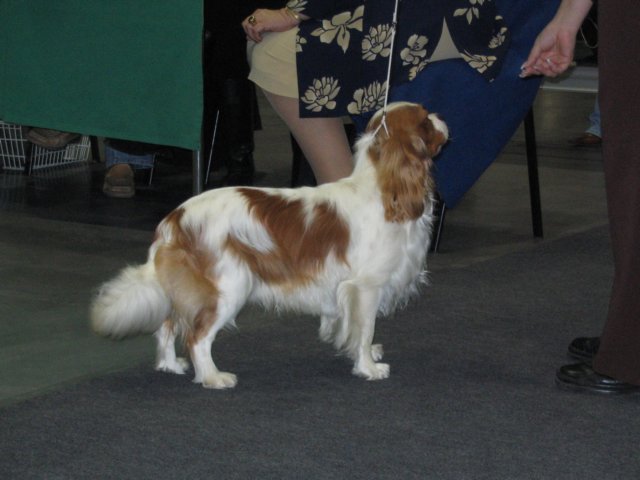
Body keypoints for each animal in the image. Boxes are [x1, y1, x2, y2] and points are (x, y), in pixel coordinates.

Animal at [90, 102, 448, 389]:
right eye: (425, 120)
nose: (441, 117)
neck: (384, 189)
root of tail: (174, 219)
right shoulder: (365, 287)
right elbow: (365, 329)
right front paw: (369, 367)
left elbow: (350, 327)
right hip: (229, 287)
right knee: (197, 337)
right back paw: (213, 378)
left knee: (167, 324)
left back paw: (169, 365)